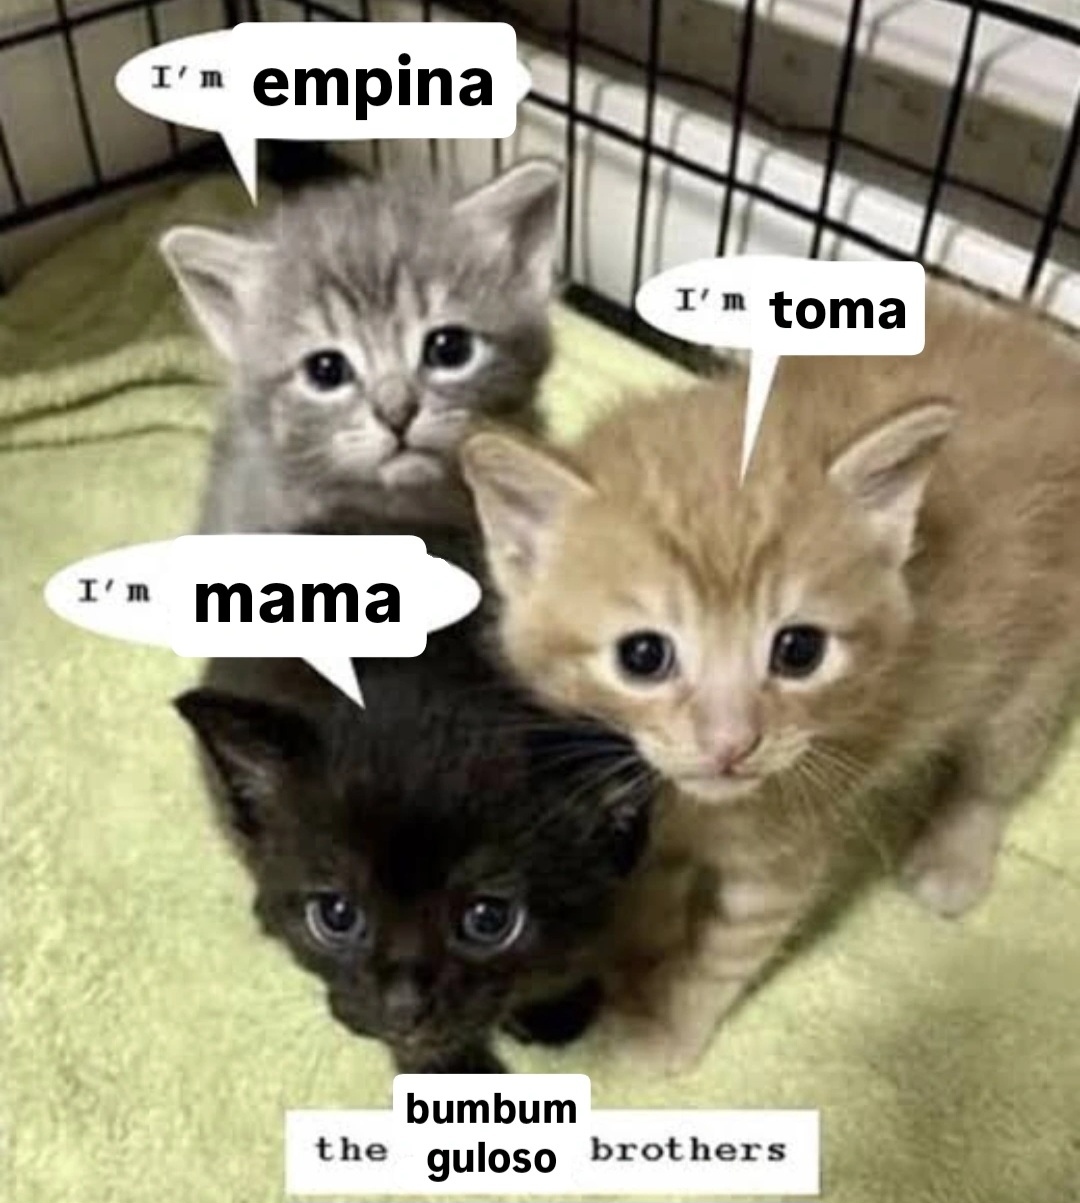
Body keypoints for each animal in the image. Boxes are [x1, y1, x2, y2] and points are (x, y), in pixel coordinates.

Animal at [460, 284, 1080, 1070]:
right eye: (643, 656)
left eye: (799, 651)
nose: (734, 744)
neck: (692, 809)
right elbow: (649, 897)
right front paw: (635, 961)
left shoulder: (785, 846)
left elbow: (721, 955)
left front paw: (667, 1025)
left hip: (1035, 663)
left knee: (996, 769)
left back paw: (953, 856)